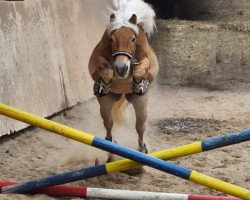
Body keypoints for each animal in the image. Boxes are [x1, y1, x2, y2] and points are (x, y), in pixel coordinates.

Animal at [88, 0, 158, 154]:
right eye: (111, 39)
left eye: (133, 39)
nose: (121, 68)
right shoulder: (96, 60)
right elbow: (105, 68)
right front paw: (104, 84)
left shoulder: (148, 61)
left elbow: (141, 68)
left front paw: (138, 82)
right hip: (106, 103)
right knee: (108, 123)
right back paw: (111, 145)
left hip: (140, 102)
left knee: (140, 126)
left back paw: (142, 148)